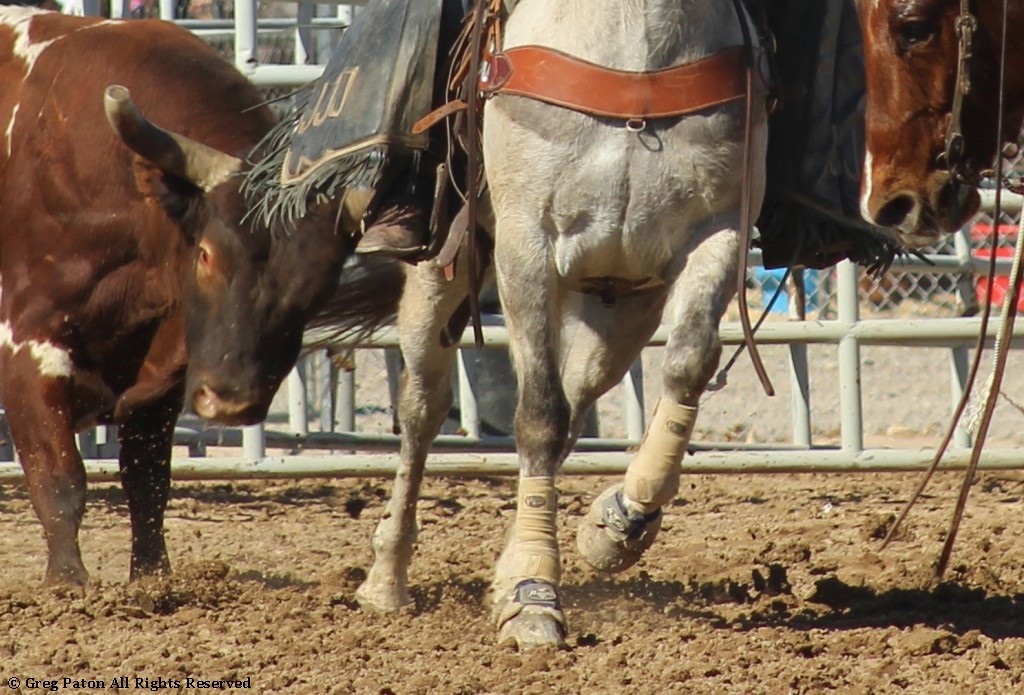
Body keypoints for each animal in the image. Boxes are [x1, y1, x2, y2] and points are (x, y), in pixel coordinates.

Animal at [0, 7, 392, 586]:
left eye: (318, 284)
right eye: (207, 254)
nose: (231, 401)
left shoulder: (161, 378)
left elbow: (147, 482)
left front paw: (153, 578)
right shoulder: (28, 345)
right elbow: (60, 476)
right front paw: (67, 583)